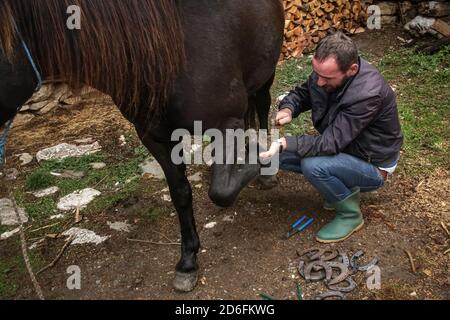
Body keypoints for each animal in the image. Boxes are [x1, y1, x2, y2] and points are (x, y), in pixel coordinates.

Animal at [0, 0, 284, 292]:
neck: (168, 54)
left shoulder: (226, 123)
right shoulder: (154, 137)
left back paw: (265, 172)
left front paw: (259, 162)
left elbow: (222, 191)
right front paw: (188, 261)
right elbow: (181, 194)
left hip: (266, 74)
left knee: (262, 107)